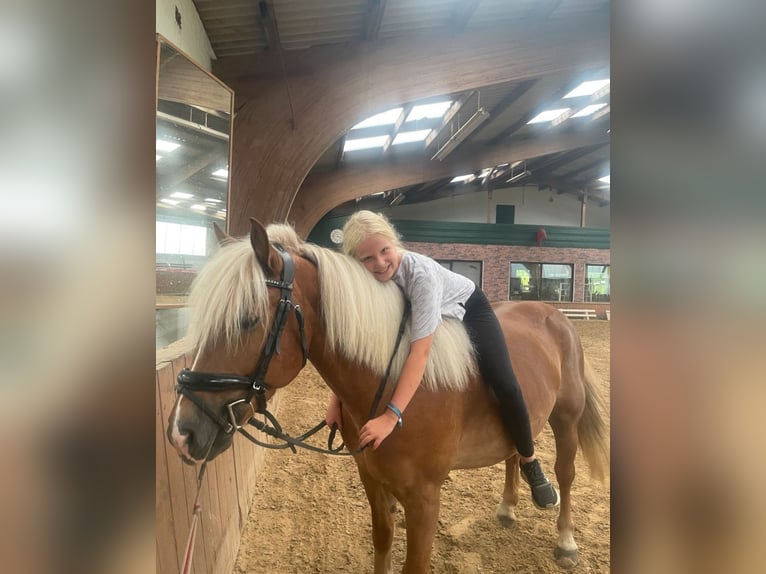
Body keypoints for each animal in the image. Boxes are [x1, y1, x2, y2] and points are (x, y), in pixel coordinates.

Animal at [168, 218, 612, 572]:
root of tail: (553, 314)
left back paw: (565, 540)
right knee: (514, 453)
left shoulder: (425, 499)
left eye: (246, 320)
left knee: (565, 473)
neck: (393, 390)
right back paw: (506, 509)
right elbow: (382, 541)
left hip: (566, 419)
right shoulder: (372, 480)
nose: (181, 433)